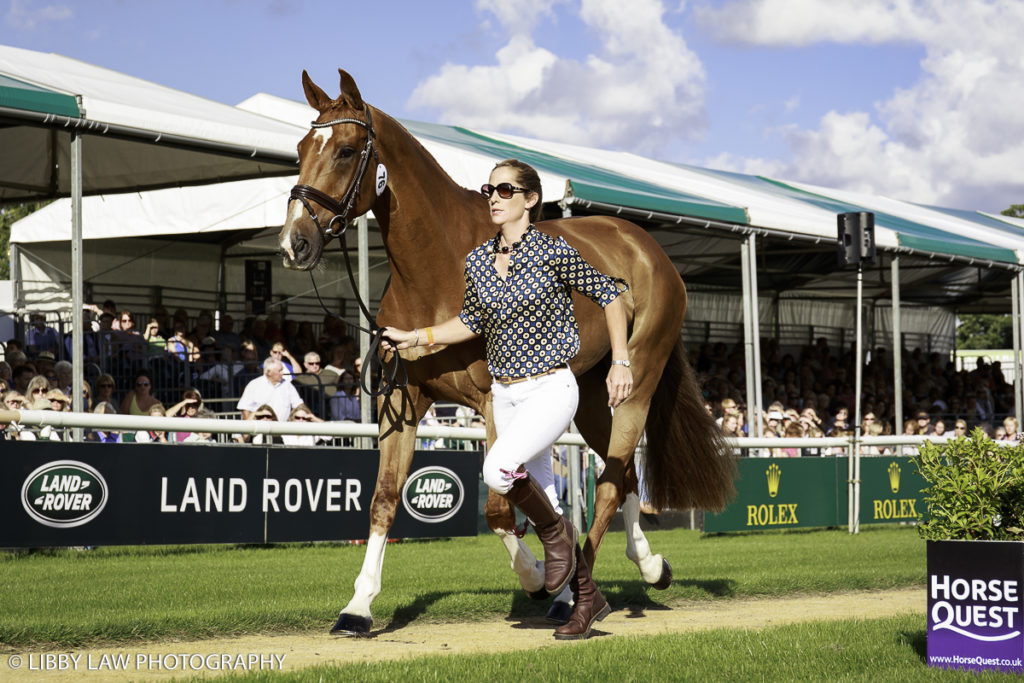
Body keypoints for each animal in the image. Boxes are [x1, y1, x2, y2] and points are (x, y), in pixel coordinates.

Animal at [276, 69, 733, 634]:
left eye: (344, 150)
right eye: (300, 149)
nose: (293, 242)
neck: (437, 270)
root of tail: (646, 248)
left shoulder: (493, 402)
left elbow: (498, 510)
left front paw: (538, 577)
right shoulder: (402, 402)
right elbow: (383, 500)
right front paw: (357, 607)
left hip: (634, 387)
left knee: (607, 485)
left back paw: (575, 595)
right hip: (589, 395)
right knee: (619, 472)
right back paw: (647, 566)